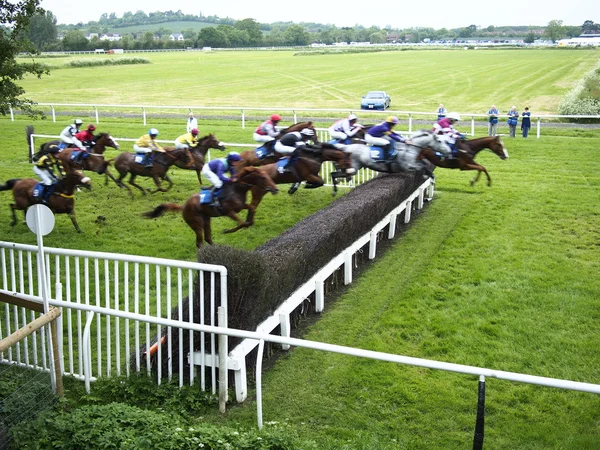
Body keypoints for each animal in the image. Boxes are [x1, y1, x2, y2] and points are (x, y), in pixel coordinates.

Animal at [142, 167, 280, 248]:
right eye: (263, 178)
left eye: (269, 176)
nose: (275, 189)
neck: (237, 188)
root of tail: (184, 206)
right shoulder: (228, 211)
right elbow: (243, 223)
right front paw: (226, 231)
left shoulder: (241, 206)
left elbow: (251, 209)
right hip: (196, 222)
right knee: (199, 242)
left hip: (206, 220)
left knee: (207, 237)